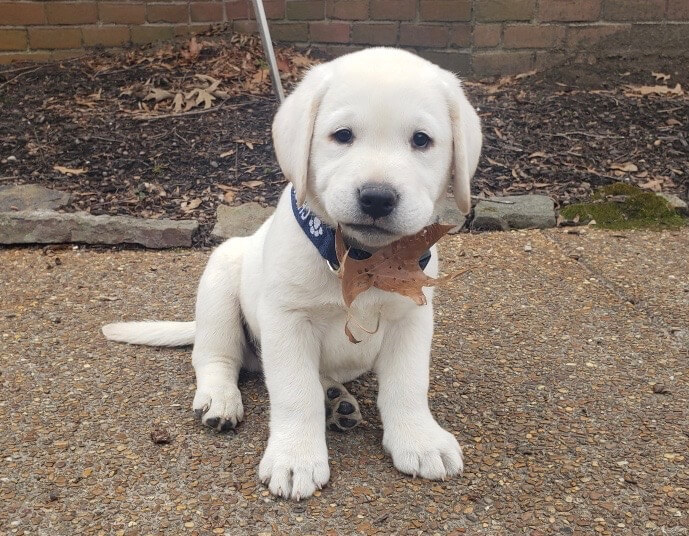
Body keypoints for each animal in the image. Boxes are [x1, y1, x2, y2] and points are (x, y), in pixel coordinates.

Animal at [103, 48, 484, 500]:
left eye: (422, 140)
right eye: (342, 135)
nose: (377, 197)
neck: (361, 259)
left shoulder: (411, 317)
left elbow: (408, 383)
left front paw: (419, 440)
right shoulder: (287, 321)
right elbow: (294, 393)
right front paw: (295, 458)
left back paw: (337, 399)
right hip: (219, 281)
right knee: (215, 357)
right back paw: (220, 400)